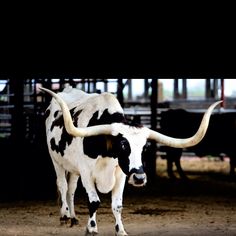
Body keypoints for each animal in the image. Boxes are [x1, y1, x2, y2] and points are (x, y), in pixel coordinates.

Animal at [41, 85, 221, 235]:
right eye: (122, 145)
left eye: (144, 147)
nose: (139, 178)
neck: (105, 151)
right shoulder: (86, 173)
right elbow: (94, 201)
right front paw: (91, 228)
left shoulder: (120, 174)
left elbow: (117, 205)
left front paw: (120, 230)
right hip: (56, 160)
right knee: (63, 185)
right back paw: (64, 216)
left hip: (73, 167)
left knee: (71, 189)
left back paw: (73, 217)